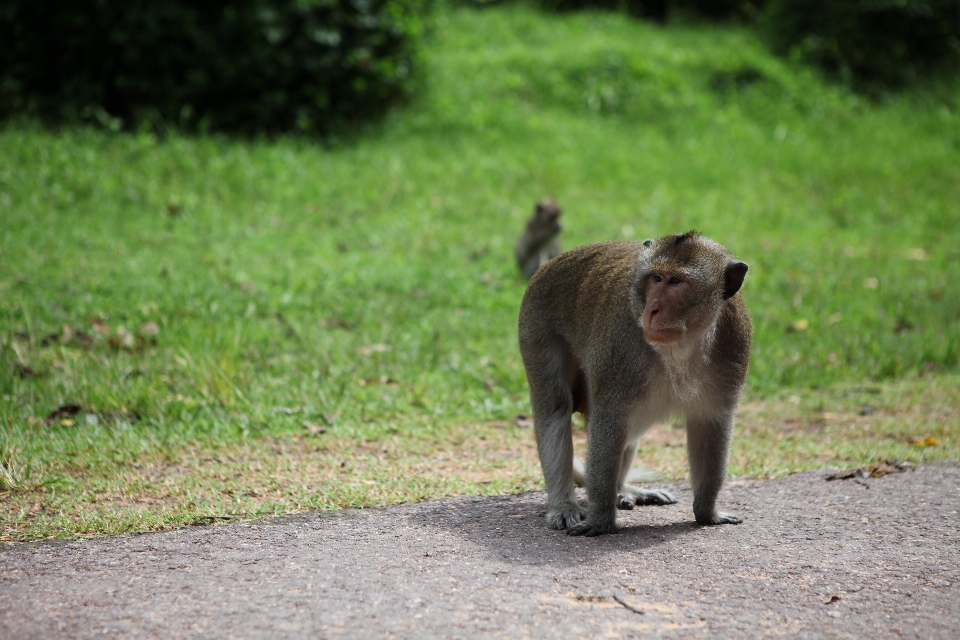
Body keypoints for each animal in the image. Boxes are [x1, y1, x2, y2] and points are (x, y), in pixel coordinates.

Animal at [516, 232, 752, 536]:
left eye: (676, 282)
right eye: (656, 278)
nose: (652, 309)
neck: (682, 345)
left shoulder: (734, 345)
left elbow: (712, 424)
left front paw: (707, 512)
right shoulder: (621, 345)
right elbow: (609, 420)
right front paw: (601, 518)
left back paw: (622, 489)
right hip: (536, 324)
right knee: (556, 406)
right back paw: (564, 505)